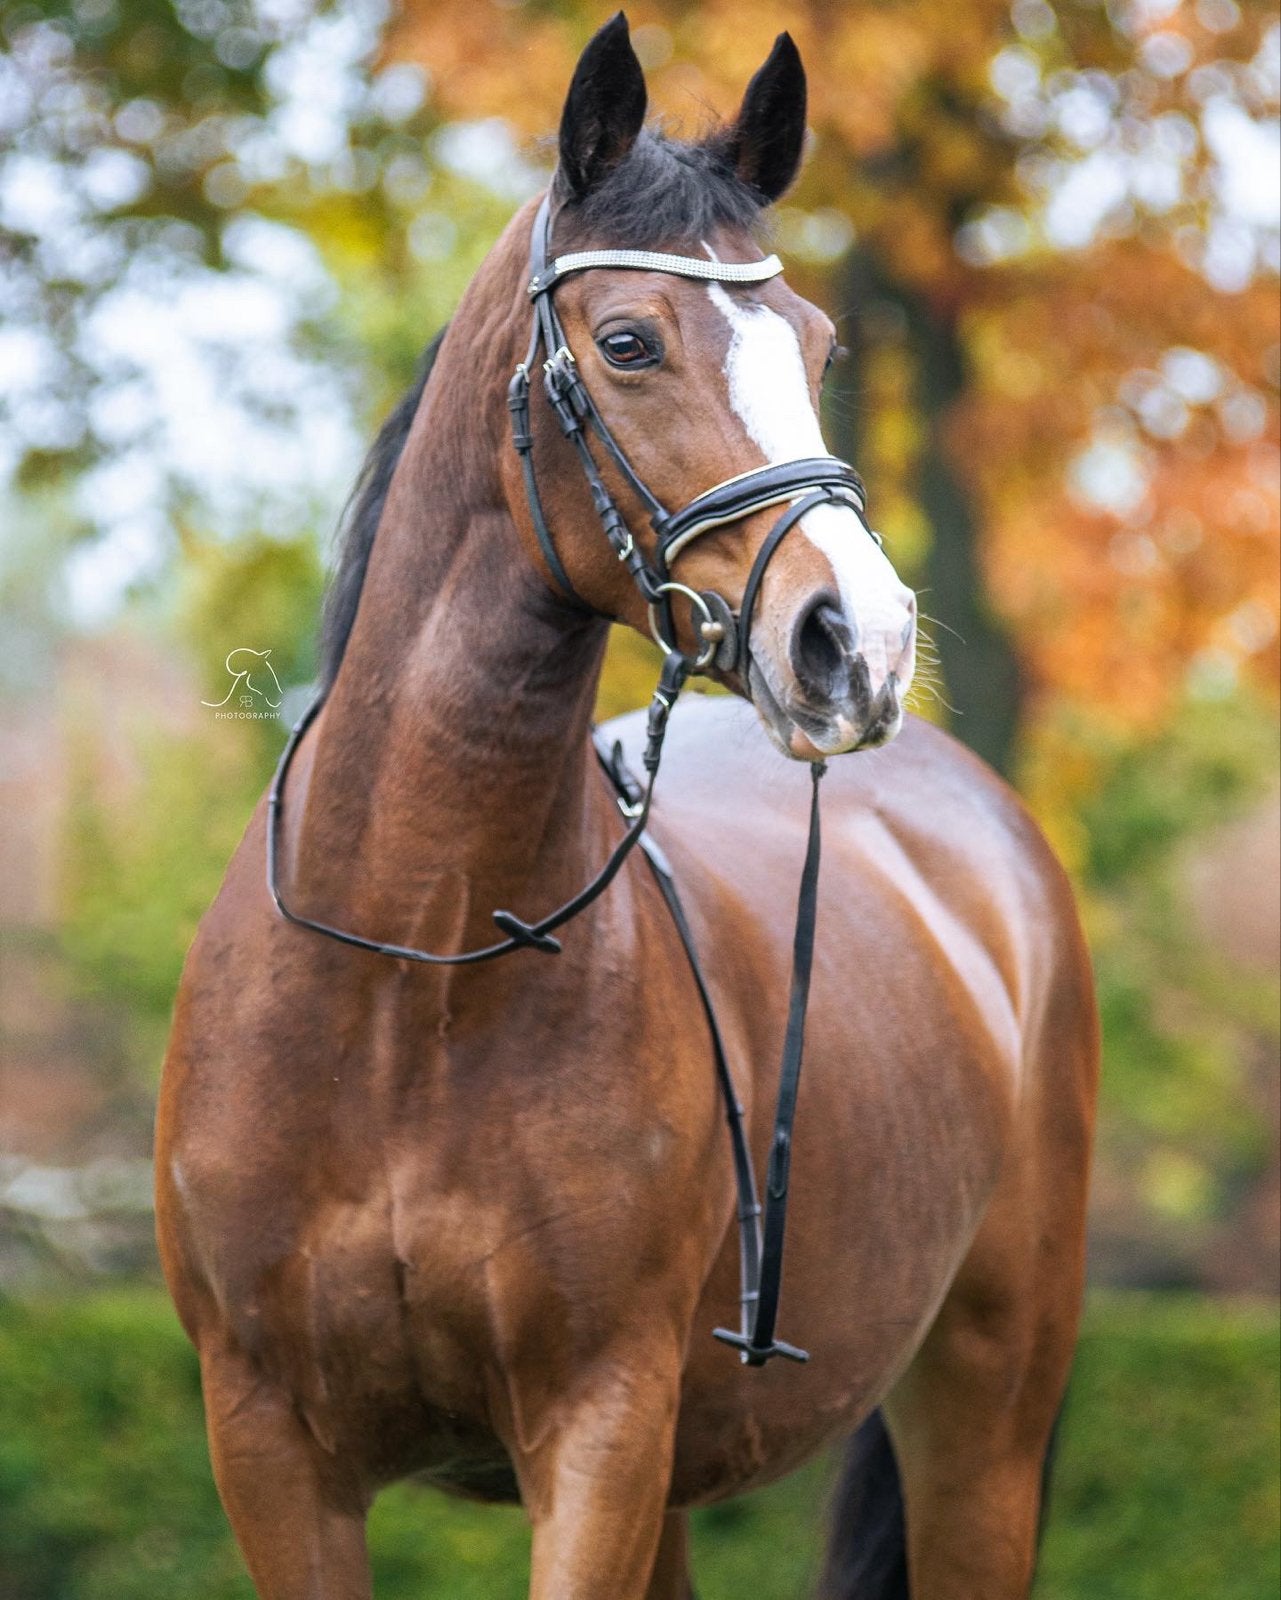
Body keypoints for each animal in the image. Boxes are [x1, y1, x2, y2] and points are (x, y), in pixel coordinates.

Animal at [156, 17, 1098, 1599]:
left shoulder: (598, 1431)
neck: (408, 976)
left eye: (820, 348)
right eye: (627, 342)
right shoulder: (269, 1445)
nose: (859, 641)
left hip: (987, 1420)